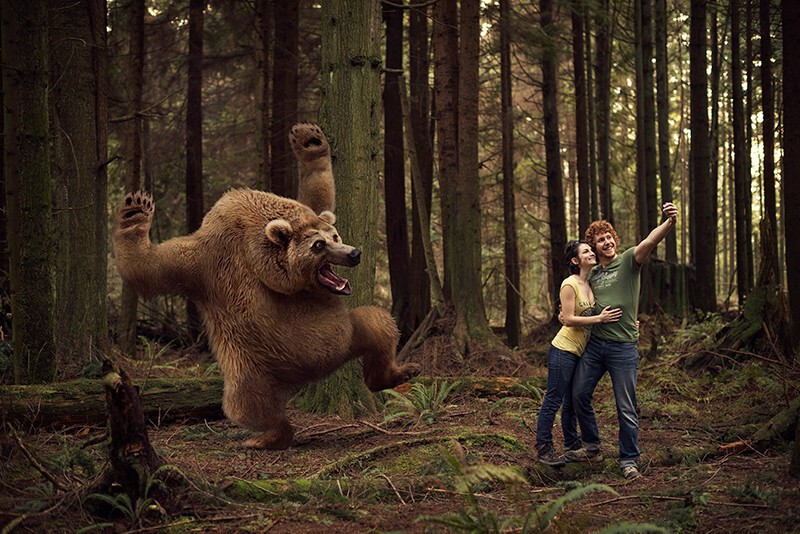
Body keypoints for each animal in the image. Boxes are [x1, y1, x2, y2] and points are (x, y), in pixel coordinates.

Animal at [116, 122, 424, 452]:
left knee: (379, 324)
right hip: (254, 368)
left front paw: (310, 141)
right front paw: (134, 212)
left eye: (335, 235)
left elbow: (319, 195)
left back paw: (400, 371)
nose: (354, 253)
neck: (258, 255)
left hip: (345, 336)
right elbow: (149, 269)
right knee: (244, 406)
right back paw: (266, 436)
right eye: (318, 245)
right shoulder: (206, 262)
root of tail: (305, 377)